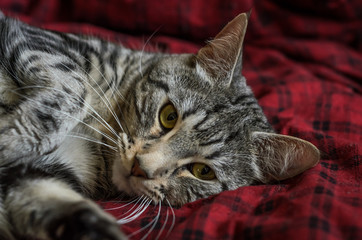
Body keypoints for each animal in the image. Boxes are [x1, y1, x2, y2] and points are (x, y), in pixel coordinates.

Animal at [0, 11, 320, 240]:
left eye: (203, 171)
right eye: (169, 116)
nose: (141, 167)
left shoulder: (46, 170)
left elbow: (54, 202)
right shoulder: (45, 44)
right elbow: (73, 89)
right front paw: (11, 139)